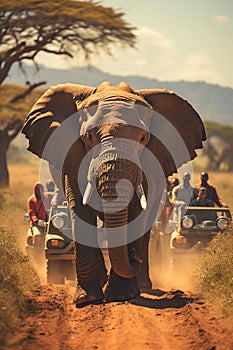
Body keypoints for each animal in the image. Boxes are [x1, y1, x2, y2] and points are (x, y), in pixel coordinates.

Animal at [20, 80, 205, 304]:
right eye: (88, 137)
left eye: (144, 138)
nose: (133, 258)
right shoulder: (72, 157)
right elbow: (79, 210)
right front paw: (87, 299)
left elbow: (137, 213)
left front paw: (121, 295)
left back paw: (143, 285)